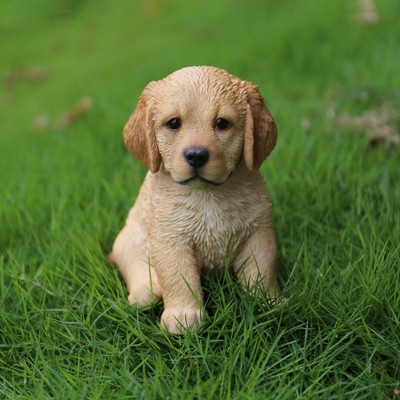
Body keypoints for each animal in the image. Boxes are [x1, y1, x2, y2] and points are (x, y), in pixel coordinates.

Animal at [109, 66, 278, 334]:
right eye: (174, 123)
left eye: (222, 123)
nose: (196, 155)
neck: (206, 195)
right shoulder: (171, 240)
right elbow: (179, 278)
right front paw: (183, 317)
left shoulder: (259, 233)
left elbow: (262, 270)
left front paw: (267, 302)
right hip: (127, 243)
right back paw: (146, 290)